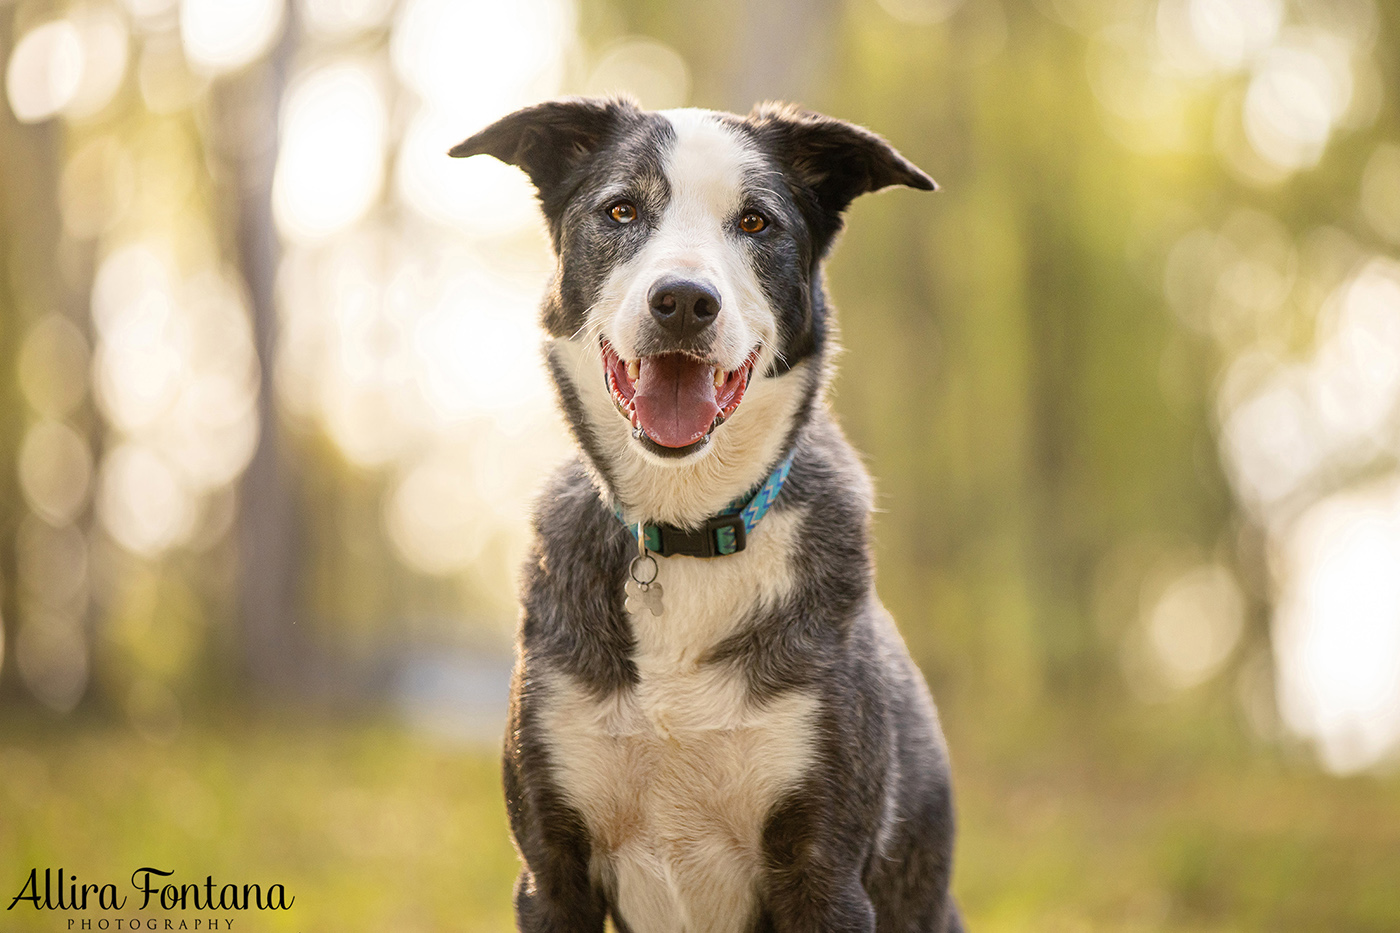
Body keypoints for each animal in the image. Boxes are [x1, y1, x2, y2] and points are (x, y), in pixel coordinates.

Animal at [450, 95, 963, 930]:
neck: (686, 524)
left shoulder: (823, 870)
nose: (685, 301)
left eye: (755, 222)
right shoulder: (552, 870)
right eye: (622, 210)